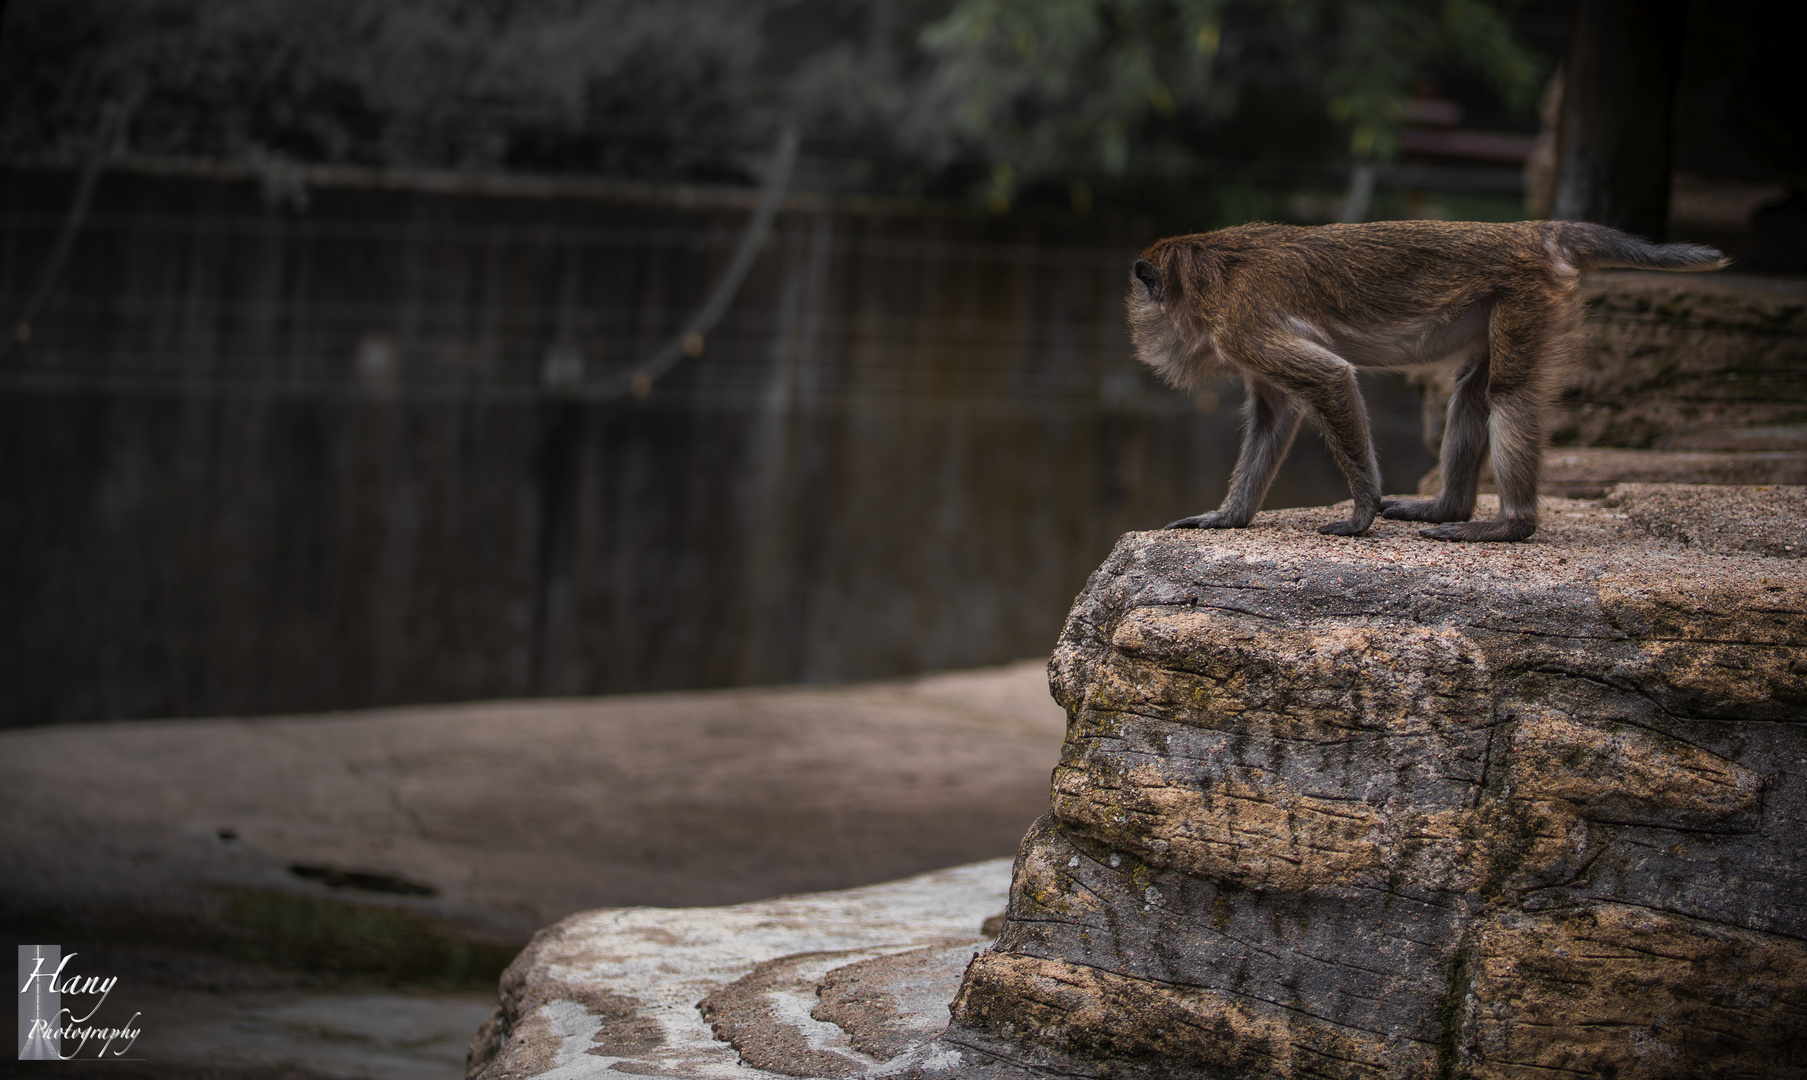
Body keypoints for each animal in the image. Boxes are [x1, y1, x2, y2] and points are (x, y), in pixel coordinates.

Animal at [1120, 219, 1727, 541]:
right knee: (1473, 394)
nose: (1144, 335)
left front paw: (1362, 512)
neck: (1206, 275)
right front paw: (1229, 517)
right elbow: (1277, 415)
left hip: (1527, 294)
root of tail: (1535, 231)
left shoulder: (1241, 323)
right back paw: (1448, 509)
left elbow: (1330, 379)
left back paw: (1510, 525)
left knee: (1508, 396)